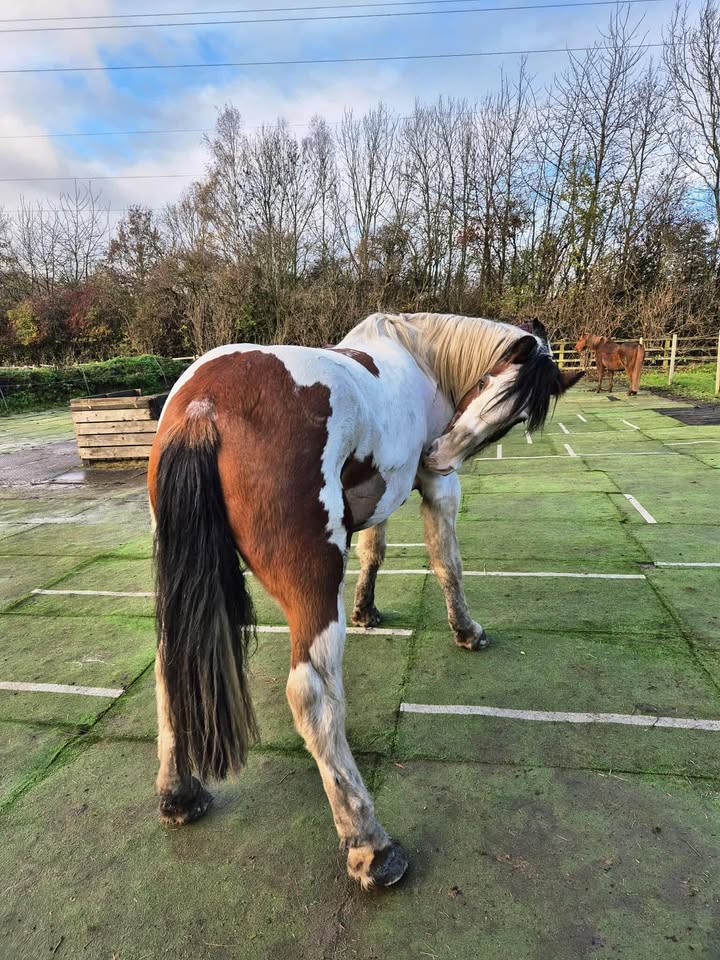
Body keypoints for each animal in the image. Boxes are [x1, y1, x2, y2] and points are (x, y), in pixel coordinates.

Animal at [147, 312, 584, 890]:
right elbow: (447, 563)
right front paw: (466, 630)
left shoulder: (383, 496)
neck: (422, 356)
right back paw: (369, 844)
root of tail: (205, 403)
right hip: (312, 584)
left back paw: (179, 794)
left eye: (512, 419)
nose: (439, 454)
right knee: (311, 694)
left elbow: (374, 550)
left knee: (171, 667)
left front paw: (367, 610)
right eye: (490, 382)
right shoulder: (437, 488)